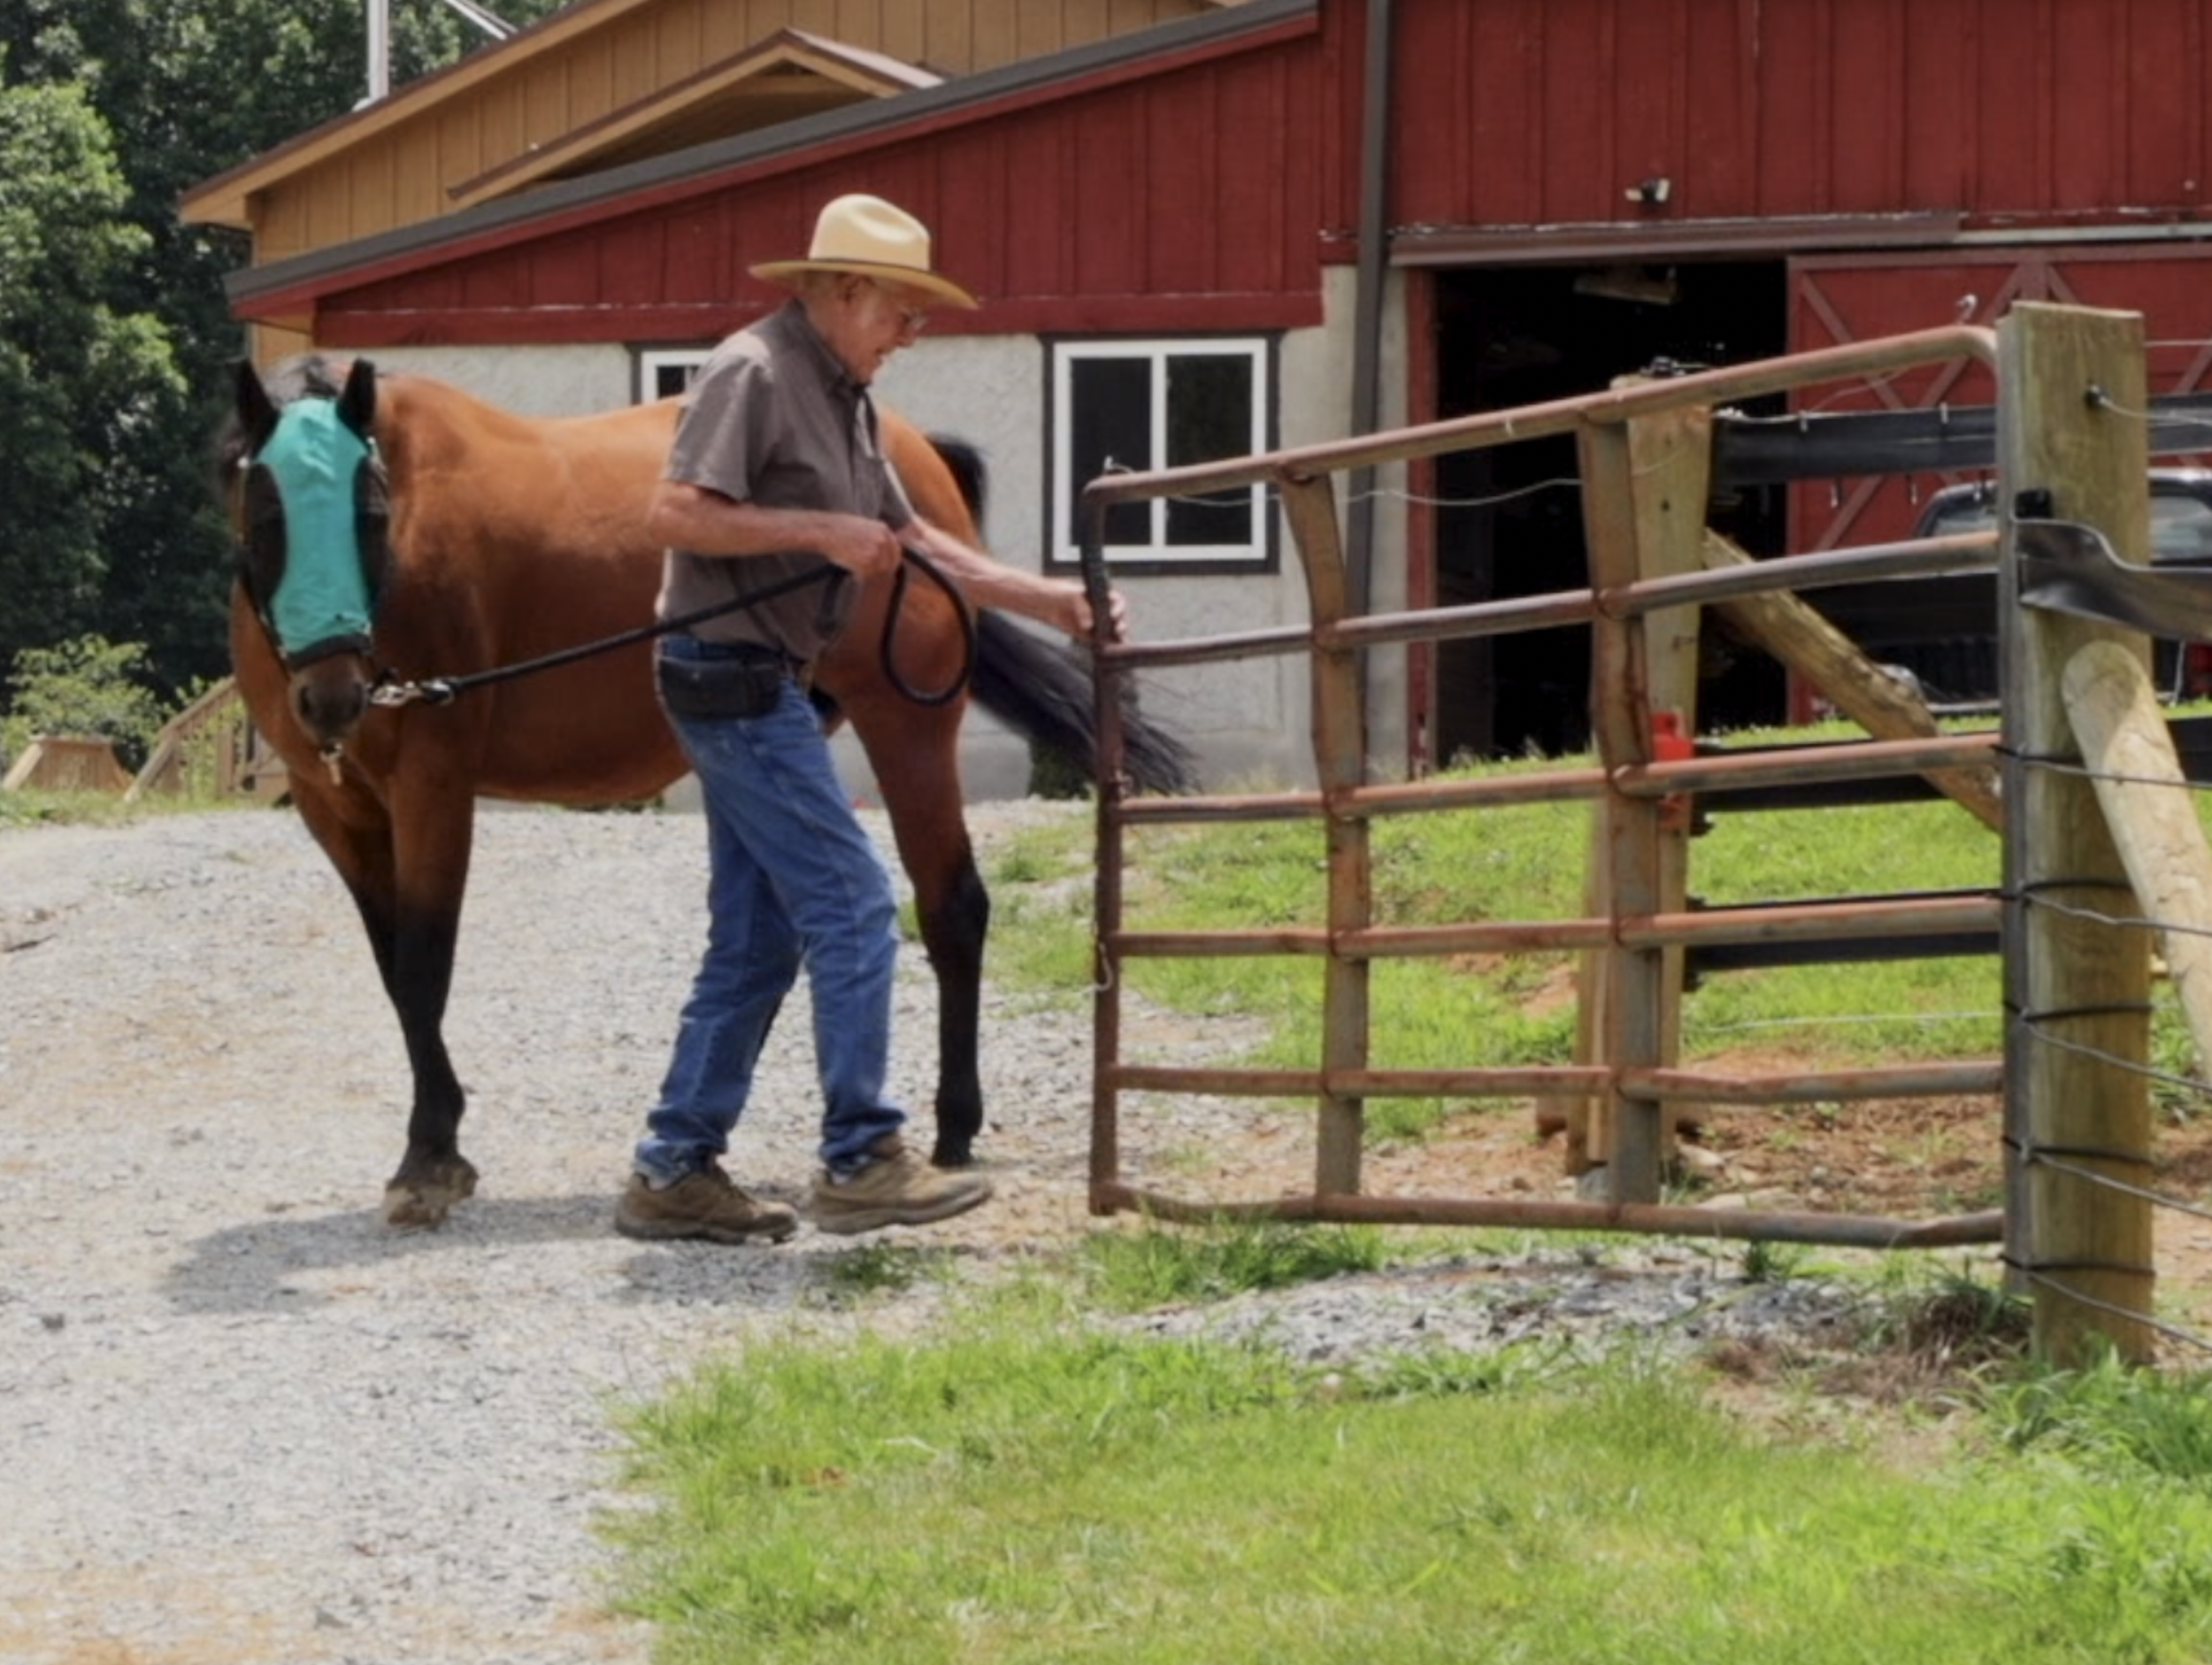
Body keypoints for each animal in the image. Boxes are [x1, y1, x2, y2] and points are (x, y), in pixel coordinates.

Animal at [220, 353, 1193, 1228]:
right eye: (264, 515)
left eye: (370, 513)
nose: (332, 694)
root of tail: (911, 471)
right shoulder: (334, 809)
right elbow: (395, 973)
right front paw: (436, 1138)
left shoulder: (434, 784)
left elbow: (425, 966)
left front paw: (429, 1159)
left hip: (905, 724)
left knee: (950, 907)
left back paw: (951, 1128)